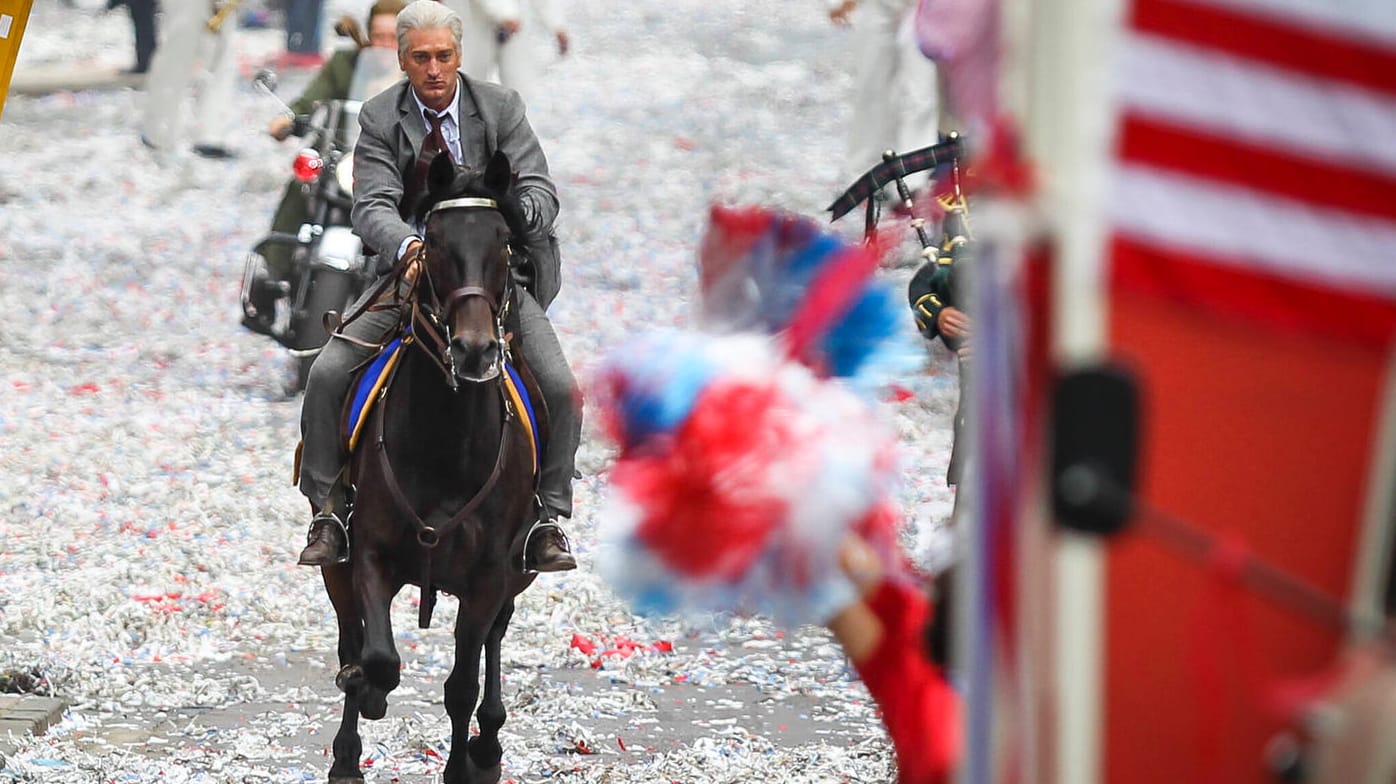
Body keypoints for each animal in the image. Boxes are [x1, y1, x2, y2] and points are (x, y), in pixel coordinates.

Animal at [322, 151, 544, 781]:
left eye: (504, 243)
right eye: (436, 245)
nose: (474, 350)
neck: (447, 442)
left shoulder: (491, 574)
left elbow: (462, 682)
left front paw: (463, 765)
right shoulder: (368, 552)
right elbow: (375, 654)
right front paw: (369, 695)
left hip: (517, 573)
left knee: (494, 642)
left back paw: (488, 746)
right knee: (350, 635)